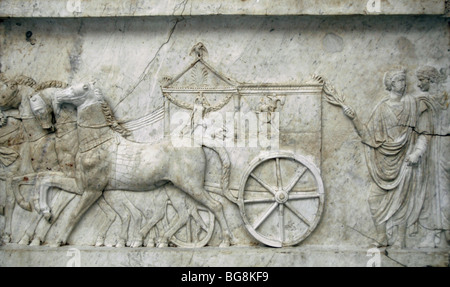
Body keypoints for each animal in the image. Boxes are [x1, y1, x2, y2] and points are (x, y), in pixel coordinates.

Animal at [37, 82, 234, 249]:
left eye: (82, 87)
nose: (57, 97)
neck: (96, 144)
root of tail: (196, 141)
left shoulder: (93, 190)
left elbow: (73, 214)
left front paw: (58, 240)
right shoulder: (80, 185)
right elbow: (45, 179)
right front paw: (46, 212)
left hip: (191, 186)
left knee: (215, 206)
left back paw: (225, 241)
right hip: (176, 190)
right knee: (184, 214)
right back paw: (158, 240)